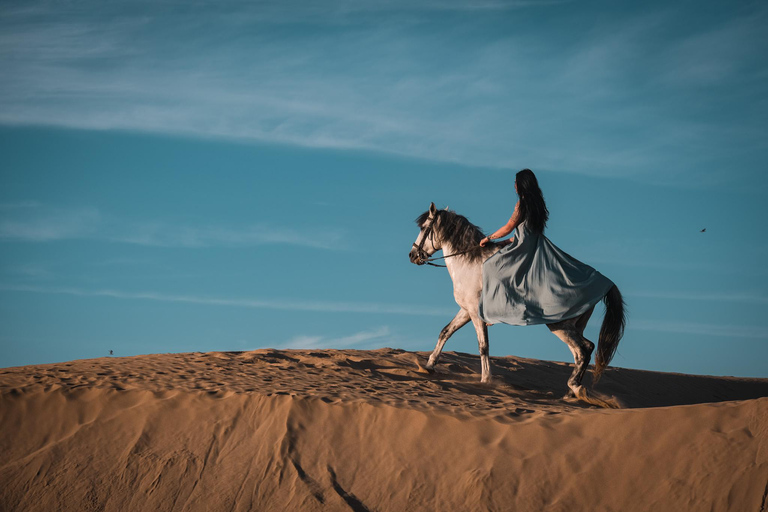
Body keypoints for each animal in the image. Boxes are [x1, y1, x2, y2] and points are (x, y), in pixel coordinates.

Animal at [408, 202, 626, 405]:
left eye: (424, 227)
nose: (412, 255)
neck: (469, 262)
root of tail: (602, 281)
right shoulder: (466, 310)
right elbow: (445, 332)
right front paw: (429, 366)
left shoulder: (475, 313)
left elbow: (483, 345)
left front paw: (486, 380)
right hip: (574, 325)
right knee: (580, 352)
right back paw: (570, 393)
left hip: (559, 324)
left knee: (584, 349)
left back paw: (575, 389)